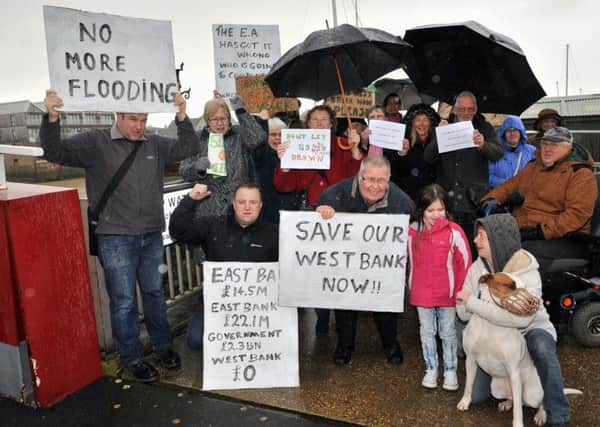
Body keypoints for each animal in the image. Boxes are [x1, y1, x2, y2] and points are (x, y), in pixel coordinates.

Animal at [458, 274, 580, 427]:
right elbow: (468, 385)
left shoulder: (513, 370)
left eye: (526, 288)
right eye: (510, 286)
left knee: (538, 402)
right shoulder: (470, 360)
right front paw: (464, 401)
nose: (532, 302)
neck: (491, 323)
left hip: (531, 393)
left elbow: (518, 410)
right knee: (516, 400)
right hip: (496, 388)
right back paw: (507, 403)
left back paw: (541, 415)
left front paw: (517, 423)